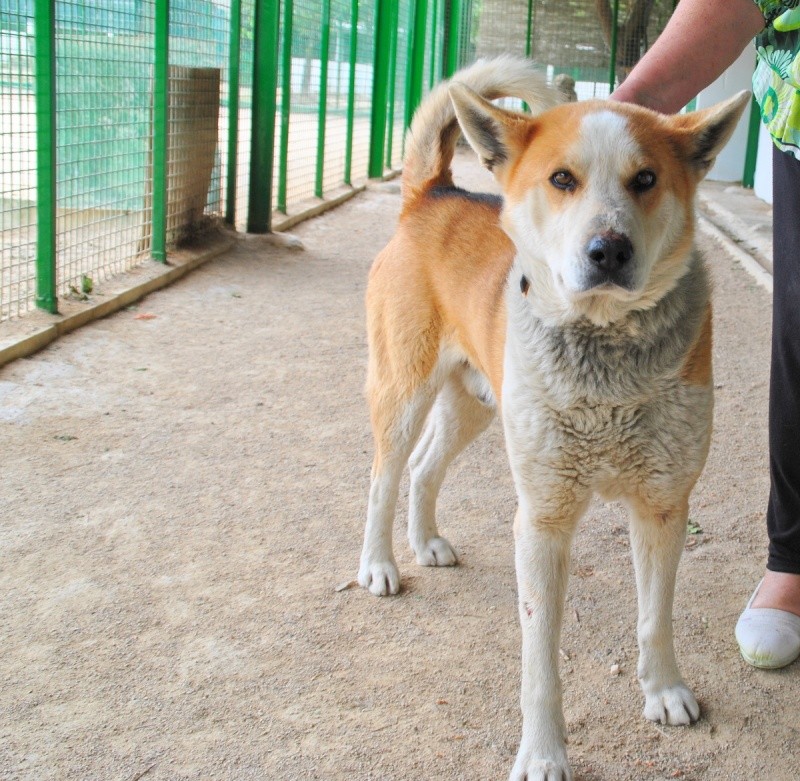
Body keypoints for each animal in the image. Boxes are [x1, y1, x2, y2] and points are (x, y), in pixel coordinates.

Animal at [356, 56, 752, 780]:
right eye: (561, 179)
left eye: (645, 179)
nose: (608, 250)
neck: (607, 357)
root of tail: (435, 193)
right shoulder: (542, 519)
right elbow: (540, 658)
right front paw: (542, 753)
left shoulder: (663, 505)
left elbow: (655, 615)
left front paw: (665, 691)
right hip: (403, 391)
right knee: (384, 475)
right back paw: (379, 566)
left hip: (475, 405)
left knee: (426, 466)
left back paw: (427, 543)